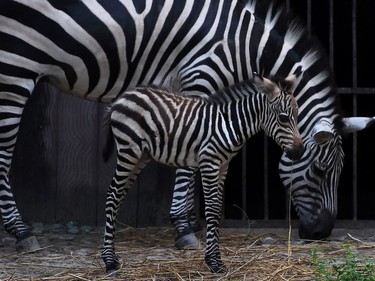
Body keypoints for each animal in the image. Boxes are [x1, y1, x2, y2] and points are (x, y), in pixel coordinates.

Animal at [103, 73, 306, 272]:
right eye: (283, 118)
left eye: (297, 115)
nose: (299, 152)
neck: (228, 125)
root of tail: (124, 96)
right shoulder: (209, 162)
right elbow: (212, 210)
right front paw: (215, 262)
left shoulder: (223, 166)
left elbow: (217, 209)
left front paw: (214, 259)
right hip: (129, 152)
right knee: (112, 195)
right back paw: (109, 261)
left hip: (141, 156)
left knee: (118, 196)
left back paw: (113, 256)